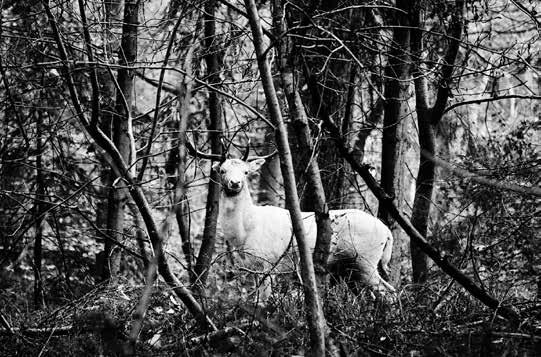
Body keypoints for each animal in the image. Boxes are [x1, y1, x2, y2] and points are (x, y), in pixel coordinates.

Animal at [212, 149, 396, 298]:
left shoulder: (269, 262)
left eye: (245, 172)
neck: (245, 232)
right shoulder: (253, 267)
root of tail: (387, 232)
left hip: (365, 260)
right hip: (352, 266)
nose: (235, 183)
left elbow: (264, 299)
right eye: (222, 170)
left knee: (388, 291)